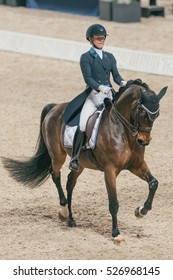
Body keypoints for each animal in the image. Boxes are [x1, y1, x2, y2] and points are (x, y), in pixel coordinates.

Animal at [2, 80, 168, 243]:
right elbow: (113, 203)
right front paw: (116, 233)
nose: (144, 141)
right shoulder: (110, 170)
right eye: (142, 112)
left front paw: (141, 211)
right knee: (55, 175)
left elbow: (154, 183)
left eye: (157, 115)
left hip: (80, 164)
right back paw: (63, 212)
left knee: (70, 183)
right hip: (58, 156)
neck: (124, 132)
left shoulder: (137, 165)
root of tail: (54, 107)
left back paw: (71, 219)